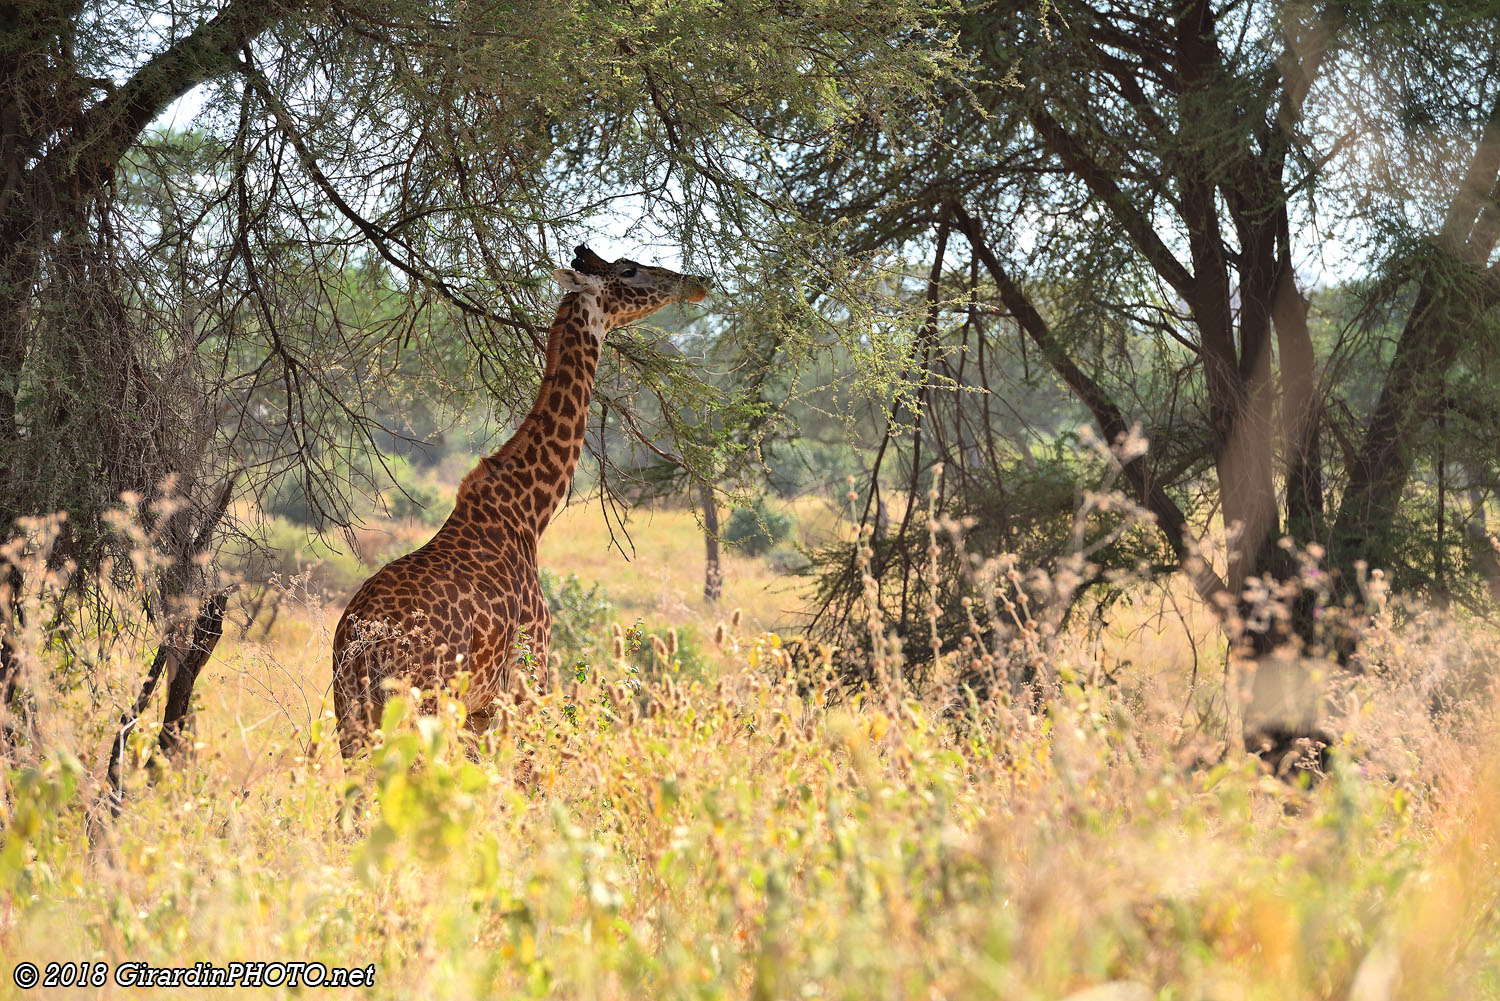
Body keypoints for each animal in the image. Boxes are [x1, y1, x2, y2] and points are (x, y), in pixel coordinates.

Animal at [331, 246, 709, 757]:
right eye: (628, 270)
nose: (694, 283)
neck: (528, 511)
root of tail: (361, 646)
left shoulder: (480, 706)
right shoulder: (526, 678)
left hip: (351, 719)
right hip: (421, 708)